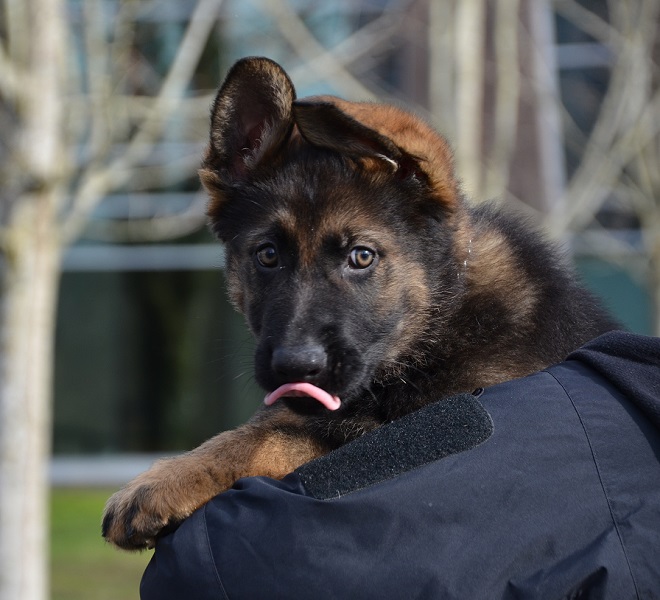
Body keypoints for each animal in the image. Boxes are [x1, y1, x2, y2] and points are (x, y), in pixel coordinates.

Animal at [100, 58, 616, 552]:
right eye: (267, 254)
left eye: (361, 257)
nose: (296, 366)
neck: (440, 324)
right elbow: (274, 422)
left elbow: (282, 433)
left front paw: (163, 482)